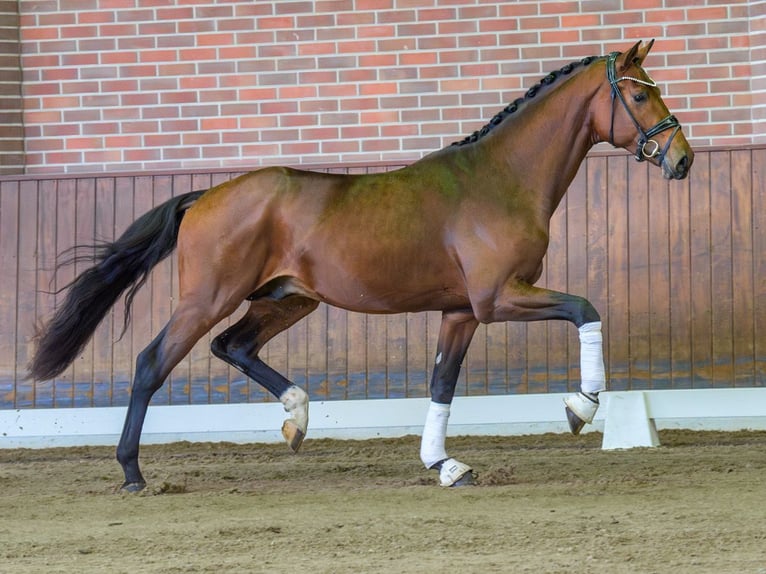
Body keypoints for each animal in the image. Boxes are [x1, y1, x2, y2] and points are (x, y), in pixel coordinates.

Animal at [28, 40, 696, 490]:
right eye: (640, 92)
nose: (682, 158)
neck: (501, 179)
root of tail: (206, 196)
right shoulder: (497, 297)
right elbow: (586, 309)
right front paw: (580, 408)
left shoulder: (461, 312)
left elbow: (441, 384)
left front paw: (444, 464)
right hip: (208, 298)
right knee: (152, 363)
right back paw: (133, 472)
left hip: (287, 299)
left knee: (233, 346)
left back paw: (297, 417)